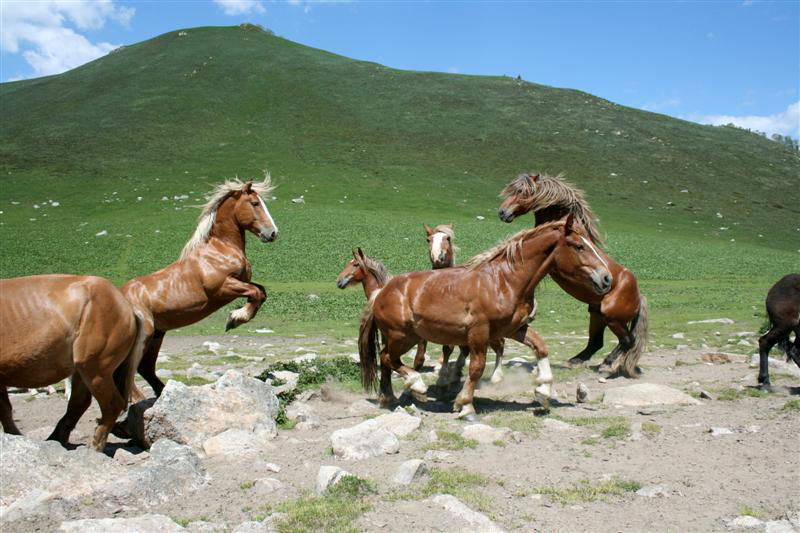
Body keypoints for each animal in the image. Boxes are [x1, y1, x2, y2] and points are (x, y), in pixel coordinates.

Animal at [0, 274, 146, 448]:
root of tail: (125, 304)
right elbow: (5, 409)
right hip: (83, 369)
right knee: (79, 403)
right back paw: (56, 439)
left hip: (94, 369)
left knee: (111, 405)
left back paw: (95, 445)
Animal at [122, 179, 278, 400]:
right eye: (255, 203)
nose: (272, 233)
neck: (219, 249)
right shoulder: (223, 288)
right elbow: (255, 293)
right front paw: (234, 319)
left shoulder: (242, 283)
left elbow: (261, 292)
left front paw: (236, 318)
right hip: (144, 336)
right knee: (130, 371)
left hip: (157, 335)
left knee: (145, 369)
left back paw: (163, 393)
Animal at [360, 214, 608, 418]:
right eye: (579, 246)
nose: (606, 279)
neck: (504, 281)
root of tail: (381, 291)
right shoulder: (479, 331)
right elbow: (476, 367)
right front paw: (465, 405)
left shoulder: (513, 329)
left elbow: (541, 347)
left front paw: (543, 391)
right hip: (402, 336)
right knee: (388, 358)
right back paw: (416, 385)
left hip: (399, 336)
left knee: (385, 359)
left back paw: (387, 397)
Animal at [500, 172, 648, 376]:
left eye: (523, 192)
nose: (503, 212)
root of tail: (639, 297)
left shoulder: (551, 265)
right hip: (597, 314)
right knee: (597, 342)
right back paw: (576, 360)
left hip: (611, 317)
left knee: (627, 341)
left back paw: (606, 365)